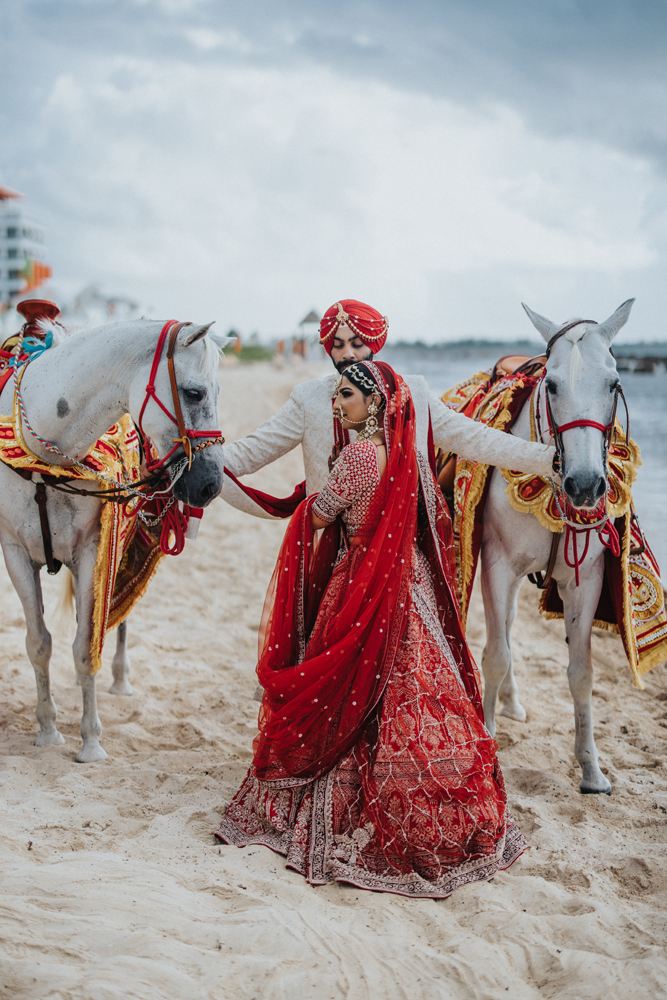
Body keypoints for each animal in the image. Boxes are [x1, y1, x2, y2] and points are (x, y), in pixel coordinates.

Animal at [0, 316, 227, 760]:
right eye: (194, 392)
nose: (211, 484)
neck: (42, 459)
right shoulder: (15, 554)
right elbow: (39, 644)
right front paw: (48, 729)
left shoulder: (93, 551)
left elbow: (86, 644)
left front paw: (90, 742)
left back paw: (119, 678)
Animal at [480, 300, 636, 792]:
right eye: (550, 385)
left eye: (614, 383)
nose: (585, 486)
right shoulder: (495, 565)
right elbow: (495, 656)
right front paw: (486, 742)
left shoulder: (586, 581)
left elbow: (582, 673)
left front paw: (592, 769)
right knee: (503, 634)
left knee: (511, 624)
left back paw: (512, 702)